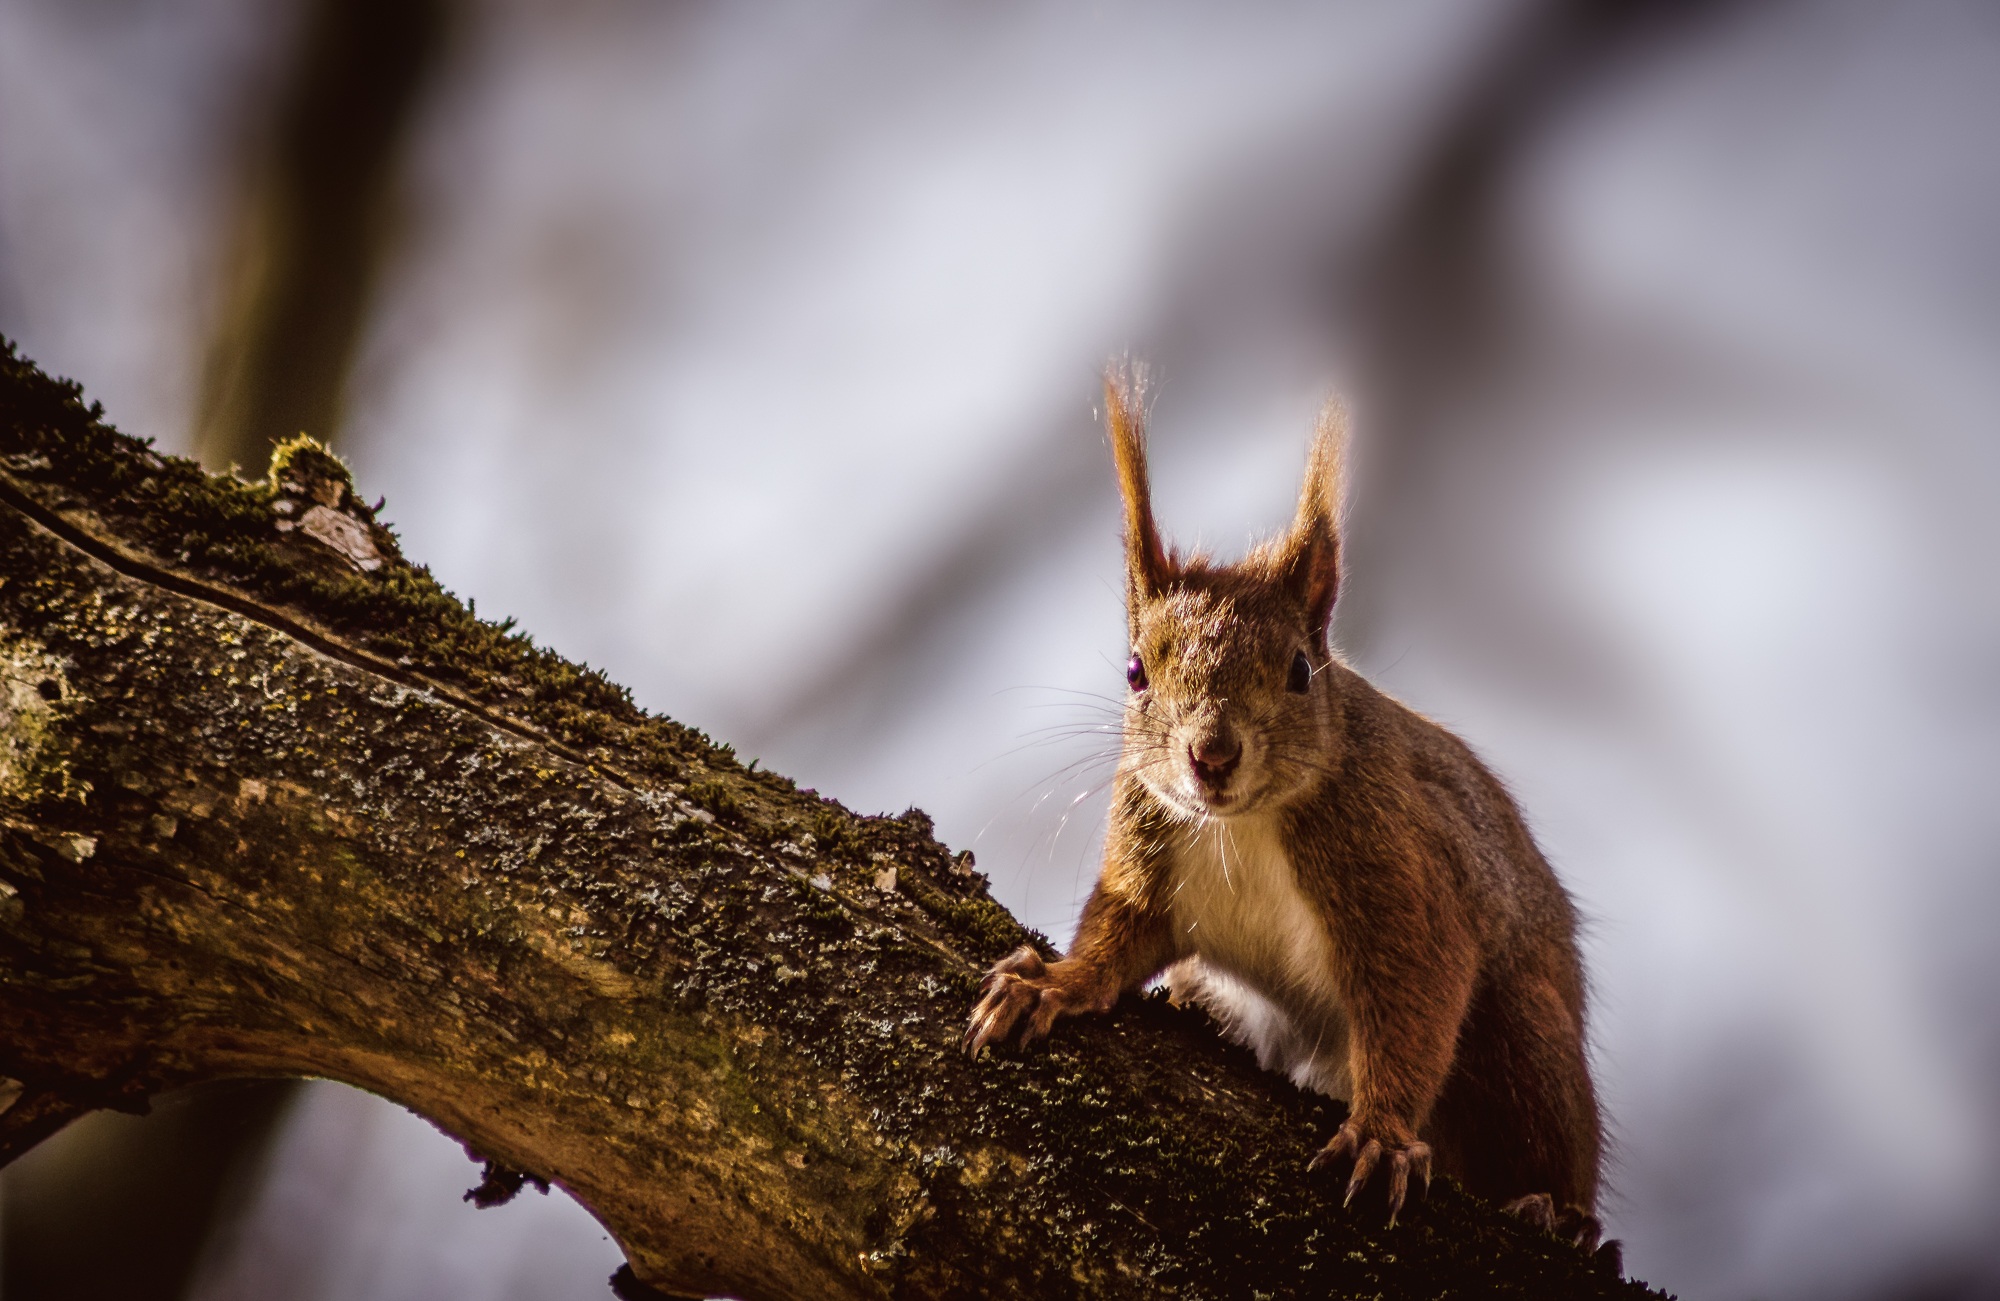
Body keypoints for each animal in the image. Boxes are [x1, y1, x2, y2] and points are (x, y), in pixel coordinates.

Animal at [966, 367, 1605, 1247]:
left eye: (1301, 671)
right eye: (1135, 671)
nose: (1211, 755)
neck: (1240, 825)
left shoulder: (1396, 869)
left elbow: (1417, 996)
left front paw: (1381, 1134)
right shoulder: (1145, 855)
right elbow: (1116, 933)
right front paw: (1053, 983)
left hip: (1525, 1037)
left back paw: (1555, 1209)